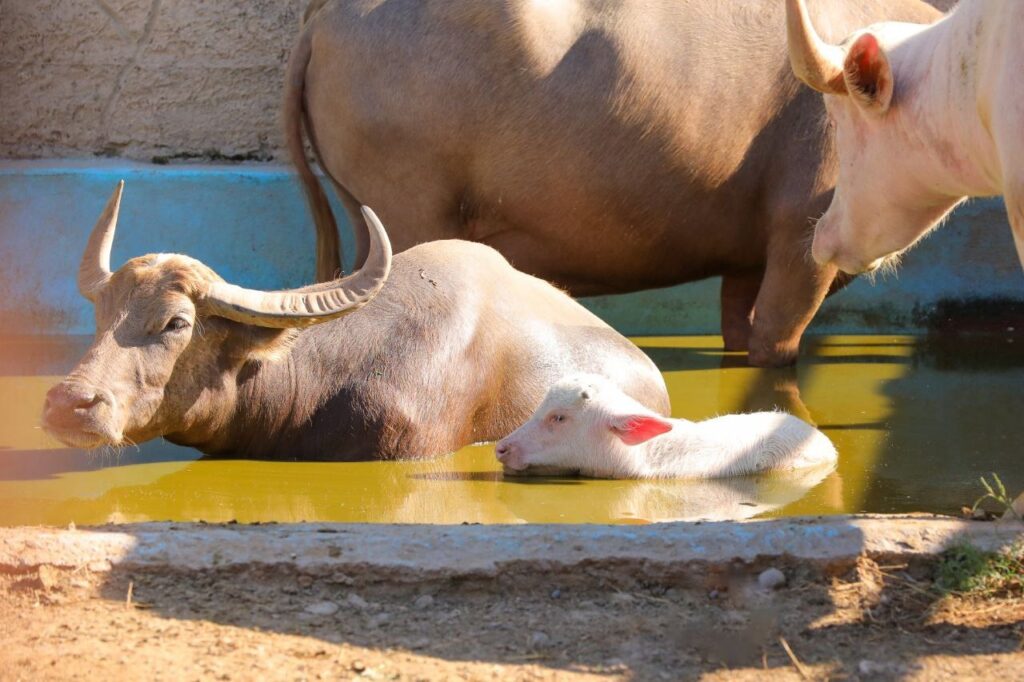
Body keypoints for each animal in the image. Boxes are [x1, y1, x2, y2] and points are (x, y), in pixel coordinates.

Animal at [284, 0, 937, 366]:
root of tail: (322, 17)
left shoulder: (749, 256)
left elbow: (737, 328)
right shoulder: (803, 228)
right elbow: (776, 341)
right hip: (410, 210)